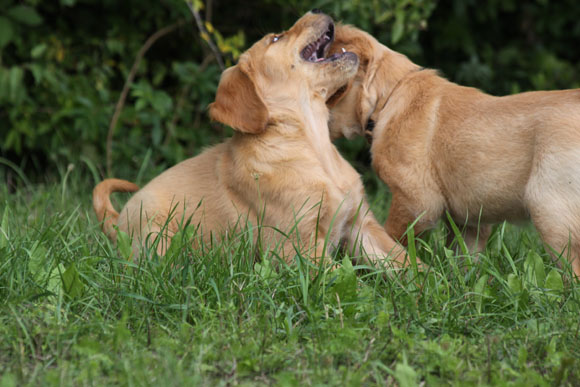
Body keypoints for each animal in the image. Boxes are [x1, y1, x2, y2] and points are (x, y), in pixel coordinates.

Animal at [93, 11, 408, 266]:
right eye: (276, 37)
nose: (318, 8)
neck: (312, 142)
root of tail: (117, 223)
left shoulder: (361, 226)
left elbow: (406, 263)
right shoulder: (298, 247)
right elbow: (349, 285)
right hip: (157, 235)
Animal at [326, 24, 580, 278]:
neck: (390, 95)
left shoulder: (416, 201)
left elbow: (394, 240)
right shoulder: (468, 222)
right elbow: (463, 260)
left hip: (550, 212)